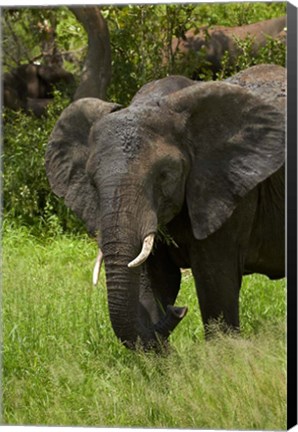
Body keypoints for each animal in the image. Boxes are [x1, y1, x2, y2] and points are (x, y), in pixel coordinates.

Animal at [45, 64, 286, 352]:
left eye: (165, 175)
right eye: (92, 182)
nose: (179, 309)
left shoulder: (228, 187)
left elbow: (215, 281)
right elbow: (152, 282)